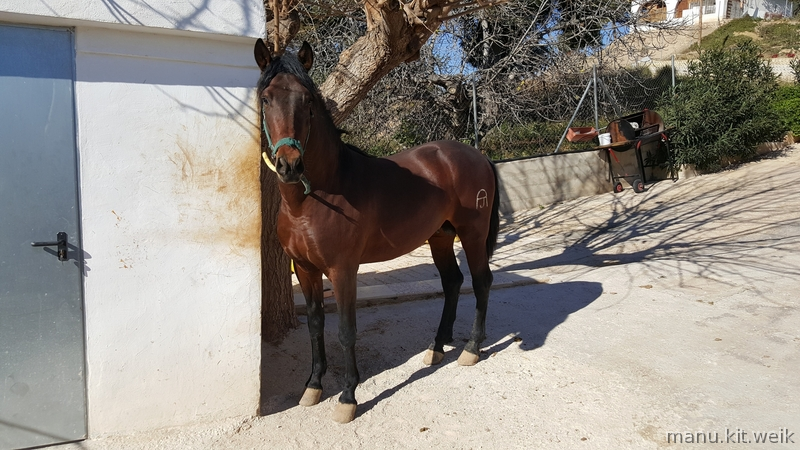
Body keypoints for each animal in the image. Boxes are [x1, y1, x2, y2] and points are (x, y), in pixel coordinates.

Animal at [254, 39, 500, 423]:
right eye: (266, 98)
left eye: (307, 100)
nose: (289, 165)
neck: (318, 195)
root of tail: (476, 154)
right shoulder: (306, 270)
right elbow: (315, 325)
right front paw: (313, 386)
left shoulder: (342, 271)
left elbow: (346, 331)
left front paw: (347, 397)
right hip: (440, 237)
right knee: (452, 282)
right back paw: (436, 347)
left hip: (472, 234)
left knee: (481, 282)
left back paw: (472, 349)